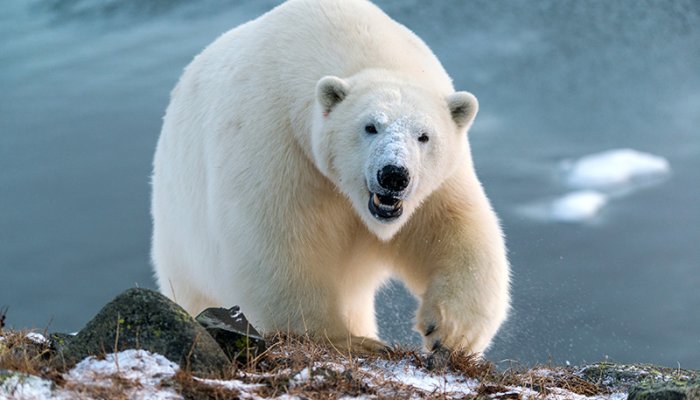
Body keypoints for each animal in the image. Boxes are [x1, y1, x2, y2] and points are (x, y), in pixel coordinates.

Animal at [151, 0, 510, 354]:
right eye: (370, 126)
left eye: (424, 136)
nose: (394, 175)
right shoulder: (276, 144)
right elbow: (278, 241)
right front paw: (349, 342)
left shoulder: (437, 183)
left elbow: (455, 228)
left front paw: (449, 332)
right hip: (181, 240)